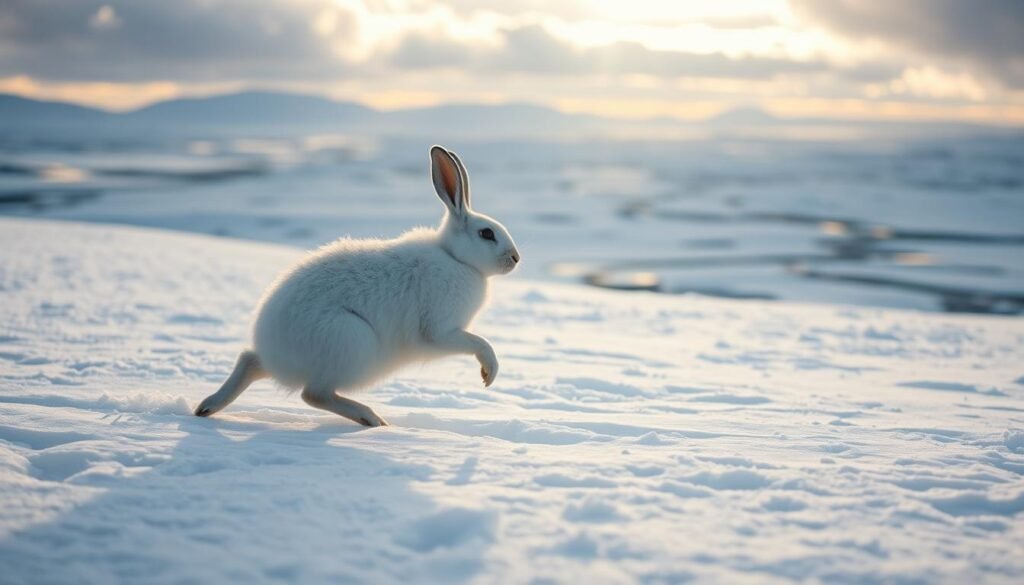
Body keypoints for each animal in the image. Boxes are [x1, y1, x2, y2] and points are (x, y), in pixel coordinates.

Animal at [194, 145, 520, 426]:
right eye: (487, 233)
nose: (516, 258)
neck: (455, 258)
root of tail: (276, 350)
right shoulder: (440, 331)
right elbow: (478, 342)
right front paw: (489, 373)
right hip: (351, 340)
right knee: (314, 394)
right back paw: (371, 418)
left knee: (250, 361)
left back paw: (208, 407)